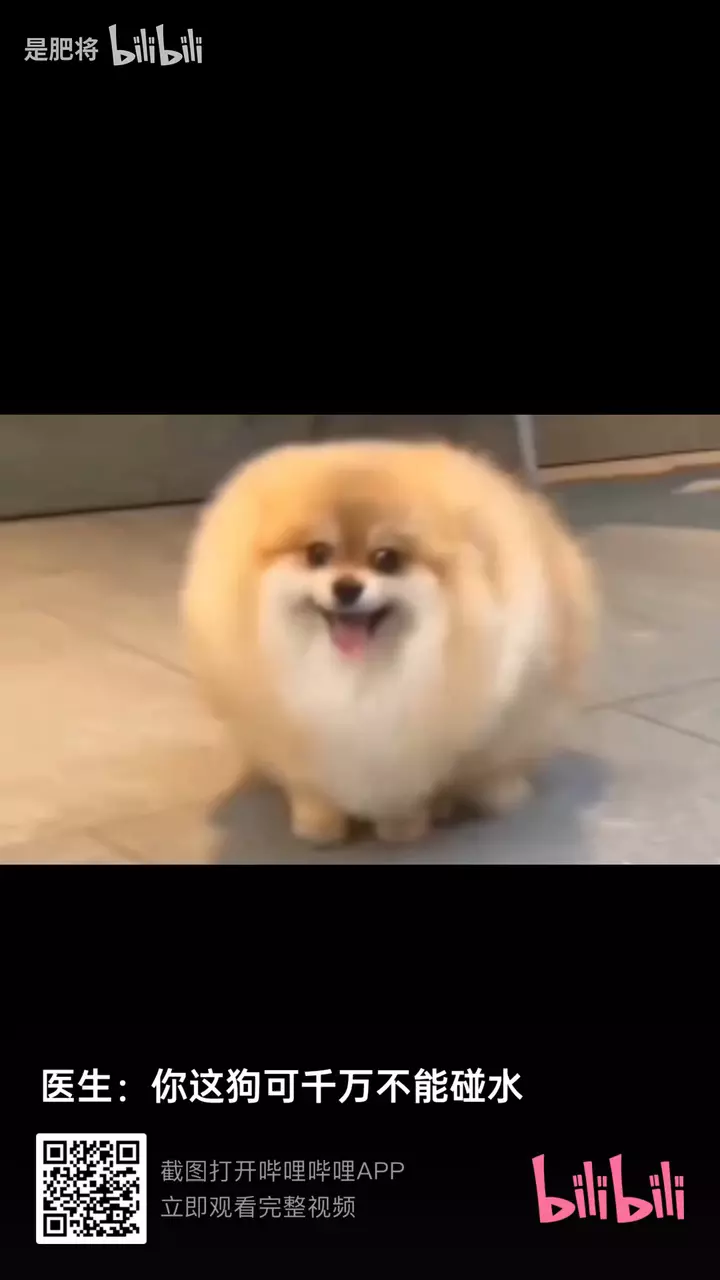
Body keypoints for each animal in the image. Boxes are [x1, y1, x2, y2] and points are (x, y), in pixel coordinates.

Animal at [181, 438, 597, 844]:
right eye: (317, 553)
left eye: (387, 559)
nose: (347, 587)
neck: (355, 678)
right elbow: (310, 784)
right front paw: (319, 823)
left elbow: (406, 790)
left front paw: (402, 826)